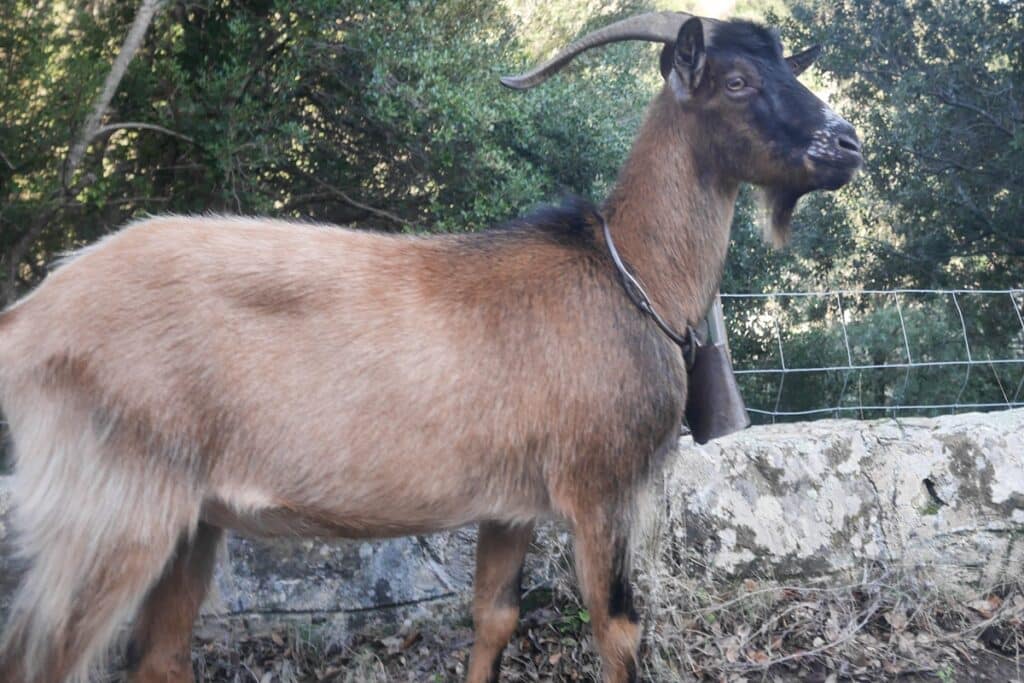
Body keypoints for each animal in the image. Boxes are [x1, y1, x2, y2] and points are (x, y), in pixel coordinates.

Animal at [0, 12, 864, 683]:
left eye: (781, 67)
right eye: (737, 83)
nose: (847, 142)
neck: (628, 272)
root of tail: (30, 319)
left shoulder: (509, 504)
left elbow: (493, 618)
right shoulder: (600, 486)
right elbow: (618, 629)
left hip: (191, 515)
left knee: (158, 655)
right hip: (114, 502)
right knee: (45, 656)